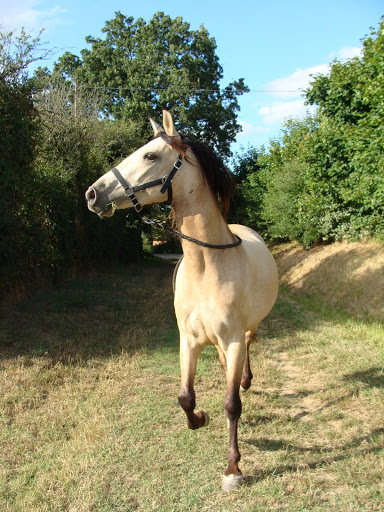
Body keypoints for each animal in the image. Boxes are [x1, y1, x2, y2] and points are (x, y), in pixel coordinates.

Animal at [85, 110, 278, 490]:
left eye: (149, 155)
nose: (93, 193)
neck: (208, 267)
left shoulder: (232, 339)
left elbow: (232, 404)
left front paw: (233, 469)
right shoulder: (188, 340)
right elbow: (185, 396)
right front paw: (199, 418)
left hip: (246, 331)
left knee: (247, 352)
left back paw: (245, 380)